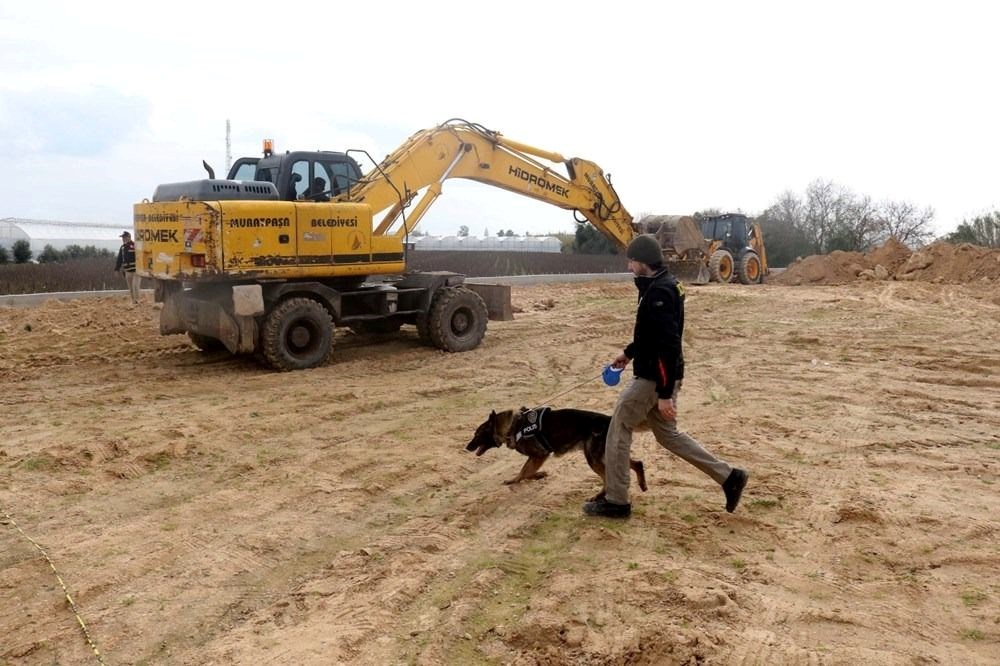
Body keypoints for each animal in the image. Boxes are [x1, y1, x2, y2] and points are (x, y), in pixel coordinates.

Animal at [466, 408, 648, 500]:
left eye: (477, 434)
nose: (466, 447)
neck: (512, 427)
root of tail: (608, 419)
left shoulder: (539, 455)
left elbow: (524, 472)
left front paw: (516, 480)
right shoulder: (537, 457)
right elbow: (526, 472)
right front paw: (539, 475)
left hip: (593, 458)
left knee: (607, 477)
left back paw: (598, 496)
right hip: (605, 455)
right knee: (637, 463)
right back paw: (642, 485)